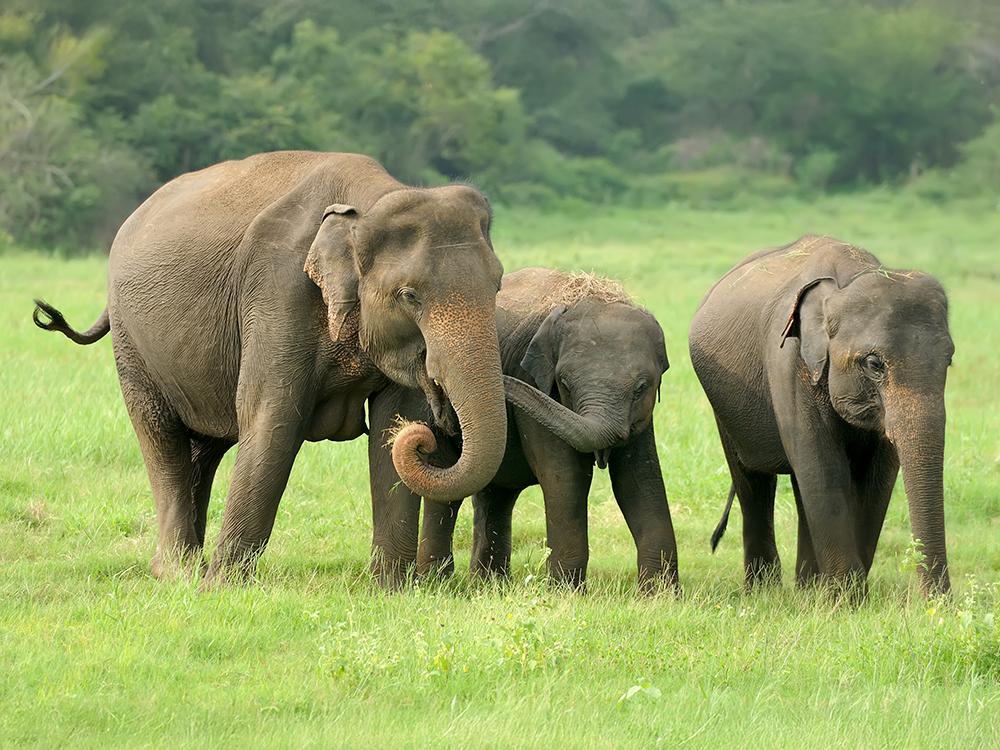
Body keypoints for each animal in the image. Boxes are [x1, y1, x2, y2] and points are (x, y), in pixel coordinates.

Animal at [33, 150, 514, 587]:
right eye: (409, 296)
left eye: (497, 285)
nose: (438, 430)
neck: (373, 198)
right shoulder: (276, 290)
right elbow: (272, 419)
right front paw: (222, 589)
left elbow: (391, 425)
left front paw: (389, 590)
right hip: (132, 345)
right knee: (161, 437)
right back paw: (180, 574)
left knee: (205, 448)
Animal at [368, 266, 679, 593]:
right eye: (564, 383)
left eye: (641, 388)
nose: (438, 382)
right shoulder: (536, 388)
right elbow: (566, 477)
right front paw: (566, 594)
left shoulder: (642, 418)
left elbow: (639, 479)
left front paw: (660, 596)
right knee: (447, 490)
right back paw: (438, 583)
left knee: (495, 495)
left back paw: (489, 586)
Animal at [689, 235, 953, 598]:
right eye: (874, 364)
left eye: (949, 361)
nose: (940, 603)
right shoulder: (789, 364)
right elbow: (824, 469)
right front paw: (847, 599)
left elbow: (876, 479)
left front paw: (841, 594)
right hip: (725, 407)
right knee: (752, 479)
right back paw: (765, 591)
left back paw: (807, 589)